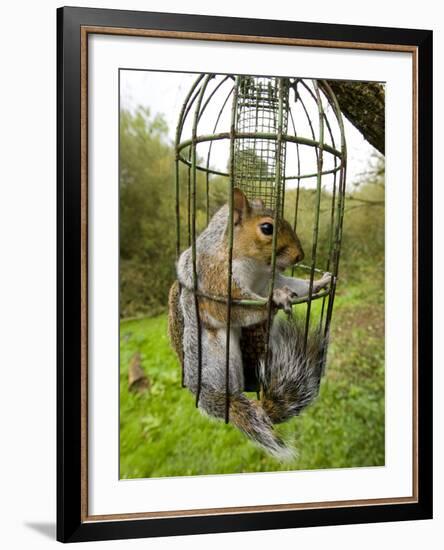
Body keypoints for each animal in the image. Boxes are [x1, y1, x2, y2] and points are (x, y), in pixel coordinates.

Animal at [168, 190, 332, 462]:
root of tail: (206, 393)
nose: (299, 256)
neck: (253, 264)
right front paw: (276, 299)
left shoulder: (268, 279)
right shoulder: (216, 280)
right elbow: (236, 308)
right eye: (267, 228)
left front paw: (320, 282)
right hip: (219, 359)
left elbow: (293, 285)